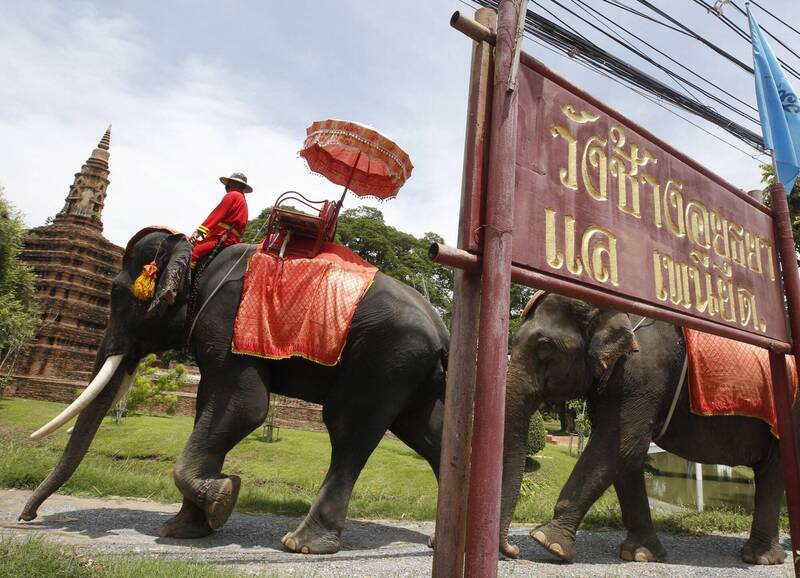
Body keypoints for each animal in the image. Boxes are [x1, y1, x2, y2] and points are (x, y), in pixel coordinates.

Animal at [18, 228, 446, 552]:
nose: (26, 518)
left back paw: (301, 545)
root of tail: (442, 330)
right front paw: (182, 530)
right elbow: (210, 406)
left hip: (386, 356)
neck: (200, 256)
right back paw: (436, 543)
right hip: (415, 373)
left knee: (349, 427)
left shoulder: (223, 318)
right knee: (427, 434)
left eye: (117, 295)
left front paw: (224, 496)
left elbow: (245, 406)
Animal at [500, 292, 792, 564]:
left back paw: (761, 558)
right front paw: (640, 554)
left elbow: (621, 444)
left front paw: (548, 542)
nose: (512, 551)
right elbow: (628, 455)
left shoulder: (643, 372)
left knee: (773, 470)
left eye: (545, 345)